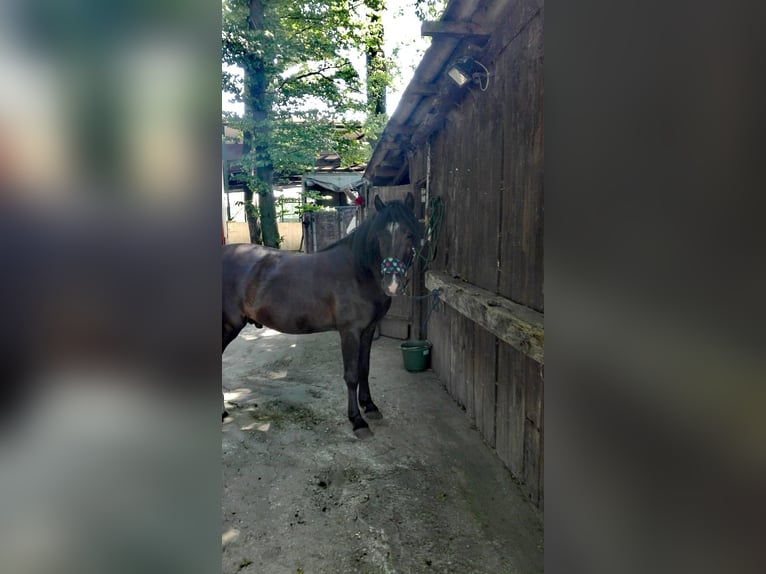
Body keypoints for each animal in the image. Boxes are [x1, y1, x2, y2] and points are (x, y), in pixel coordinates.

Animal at [222, 193, 421, 437]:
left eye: (409, 233)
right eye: (380, 235)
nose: (392, 283)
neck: (358, 272)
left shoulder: (368, 330)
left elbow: (364, 369)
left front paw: (370, 406)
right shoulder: (350, 332)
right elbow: (351, 375)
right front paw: (357, 421)